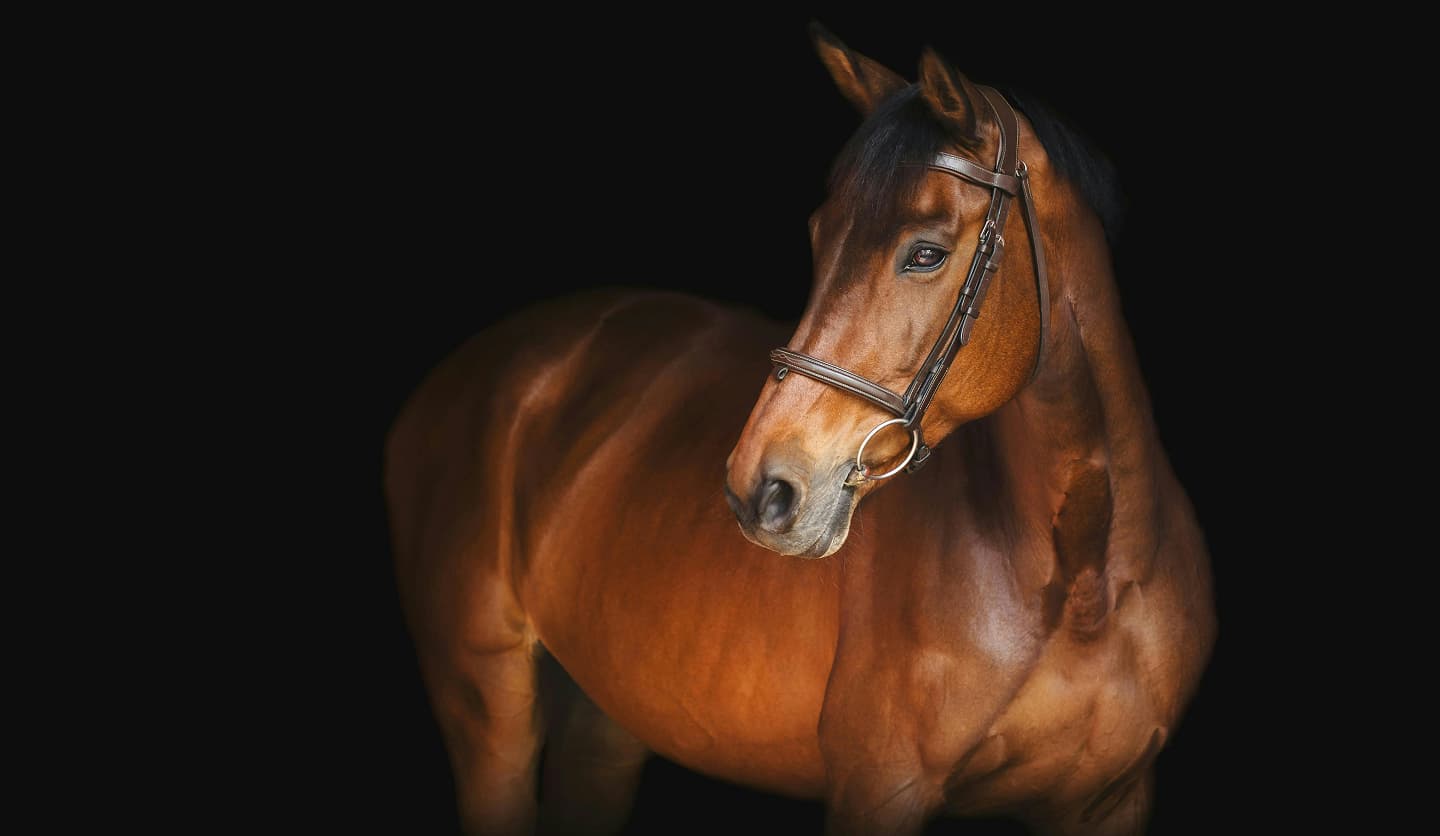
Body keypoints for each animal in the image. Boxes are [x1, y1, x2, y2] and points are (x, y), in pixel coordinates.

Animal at [384, 26, 1215, 836]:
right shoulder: (878, 791)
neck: (1082, 581)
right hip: (486, 706)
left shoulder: (1110, 803)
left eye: (926, 253)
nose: (762, 489)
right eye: (821, 235)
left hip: (603, 716)